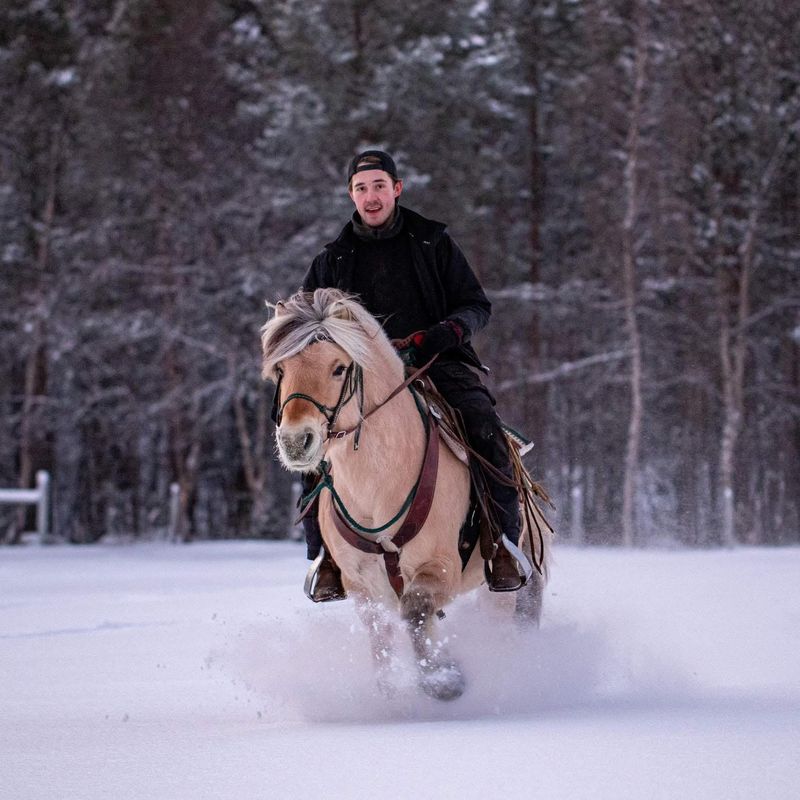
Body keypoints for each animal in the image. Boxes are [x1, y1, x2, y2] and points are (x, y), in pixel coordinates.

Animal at [261, 288, 551, 700]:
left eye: (338, 368)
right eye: (281, 371)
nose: (295, 442)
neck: (376, 484)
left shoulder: (439, 566)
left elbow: (415, 610)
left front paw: (443, 679)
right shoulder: (362, 586)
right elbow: (382, 641)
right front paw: (394, 695)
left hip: (516, 577)